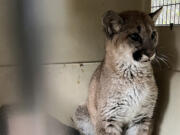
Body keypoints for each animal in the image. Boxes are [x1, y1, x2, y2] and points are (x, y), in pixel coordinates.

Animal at [72, 7, 162, 135]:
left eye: (153, 34)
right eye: (135, 36)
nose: (151, 53)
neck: (134, 74)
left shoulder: (143, 117)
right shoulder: (109, 118)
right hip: (81, 110)